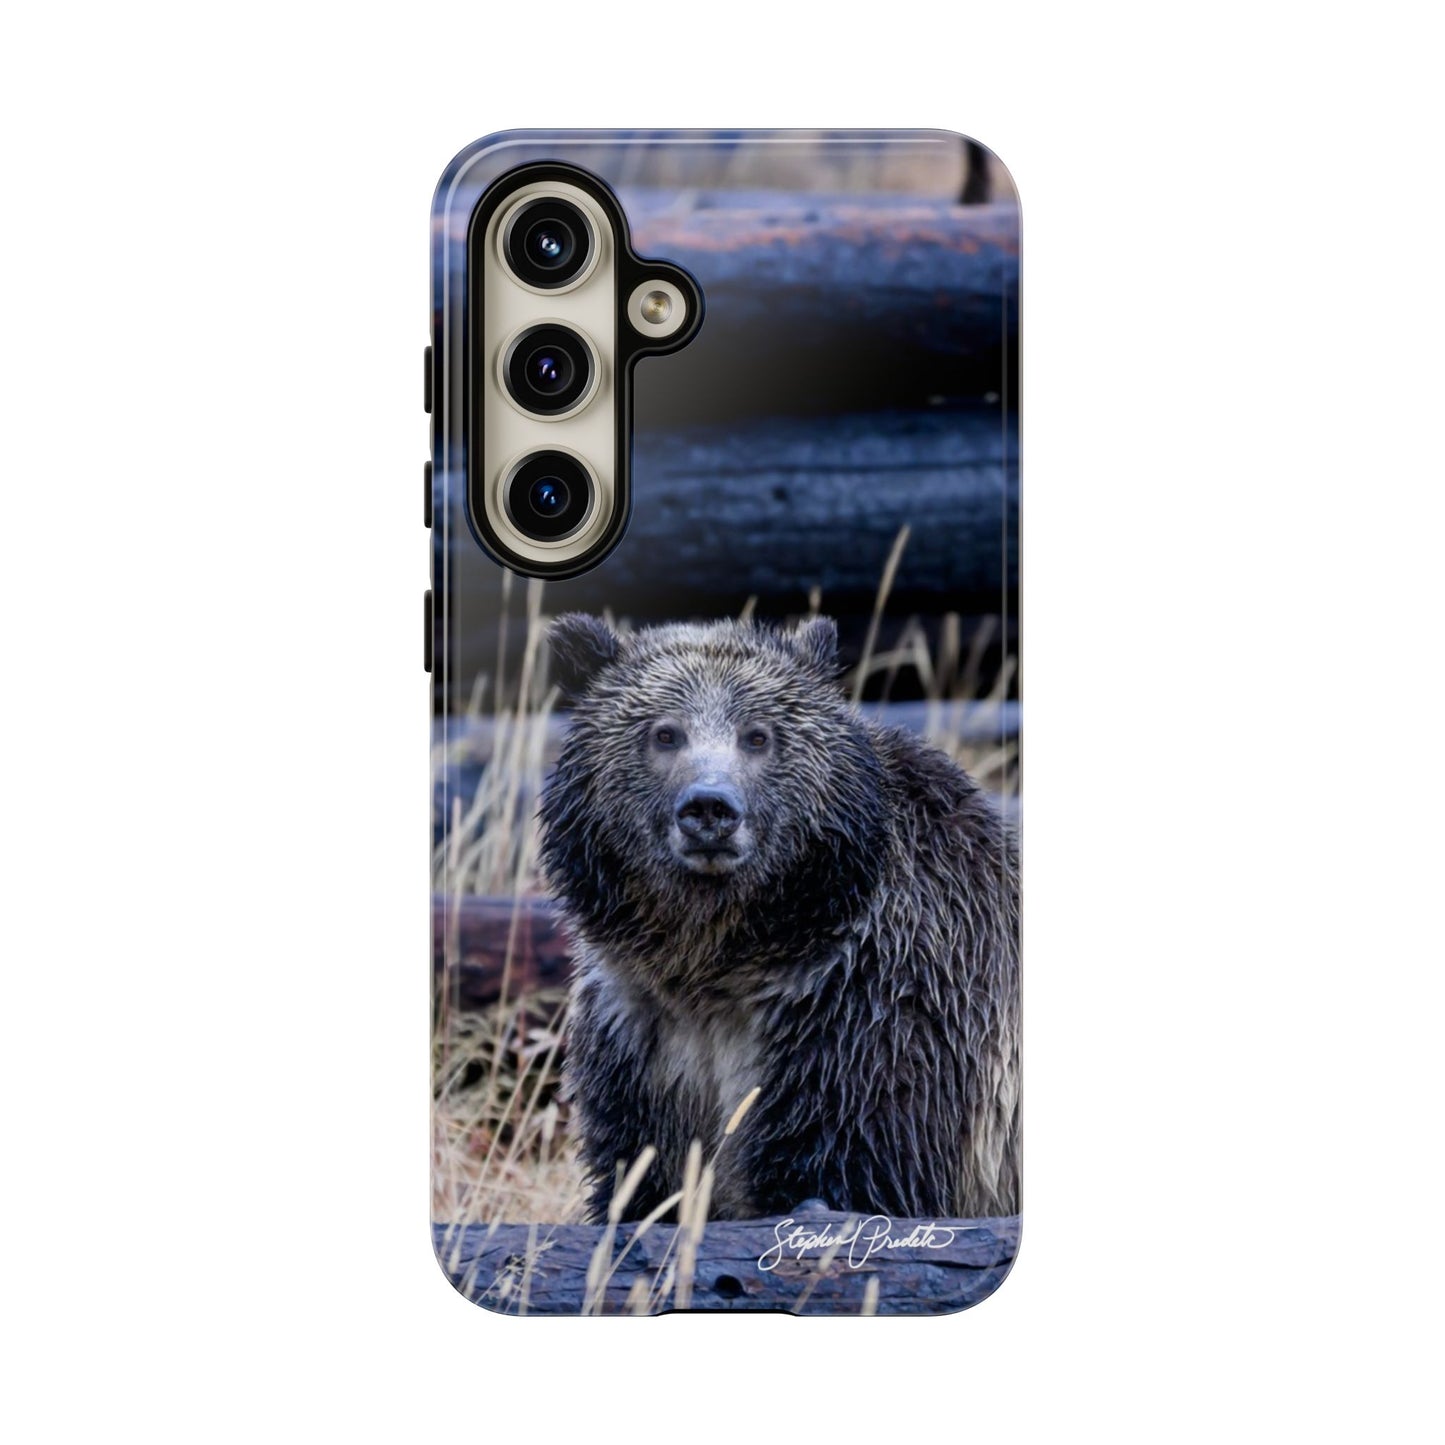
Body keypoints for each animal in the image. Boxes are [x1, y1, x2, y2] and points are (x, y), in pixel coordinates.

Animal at [539, 613, 1020, 1224]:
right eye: (665, 733)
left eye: (758, 735)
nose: (710, 808)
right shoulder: (641, 1034)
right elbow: (639, 1177)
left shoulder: (873, 1012)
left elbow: (850, 1166)